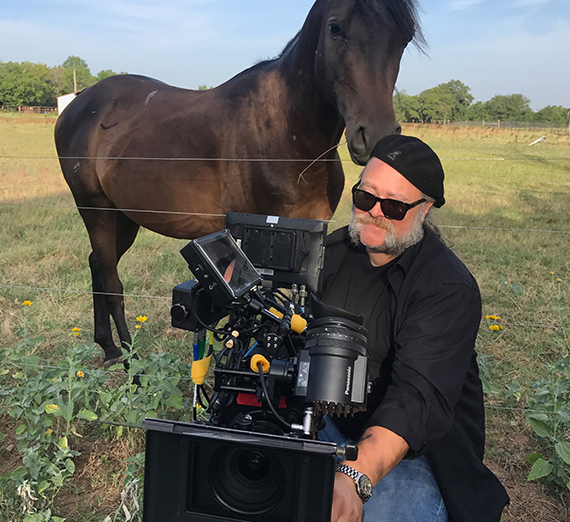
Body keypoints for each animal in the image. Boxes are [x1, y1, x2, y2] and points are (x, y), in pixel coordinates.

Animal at [55, 0, 424, 360]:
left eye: (404, 38)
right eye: (335, 28)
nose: (378, 137)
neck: (290, 137)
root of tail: (77, 104)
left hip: (125, 216)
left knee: (97, 265)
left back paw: (106, 345)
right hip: (96, 210)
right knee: (111, 281)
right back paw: (127, 357)